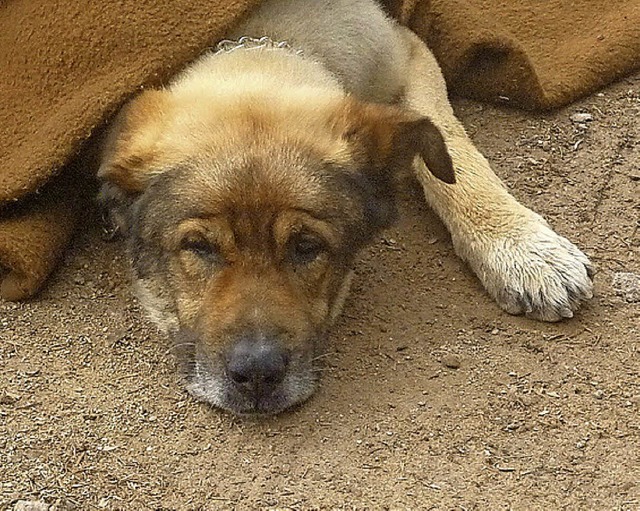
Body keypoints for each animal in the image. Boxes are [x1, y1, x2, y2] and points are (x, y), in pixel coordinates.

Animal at [99, 0, 596, 416]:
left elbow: (448, 142)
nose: (257, 374)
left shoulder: (405, 50)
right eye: (198, 247)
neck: (266, 37)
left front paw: (519, 246)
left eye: (306, 246)